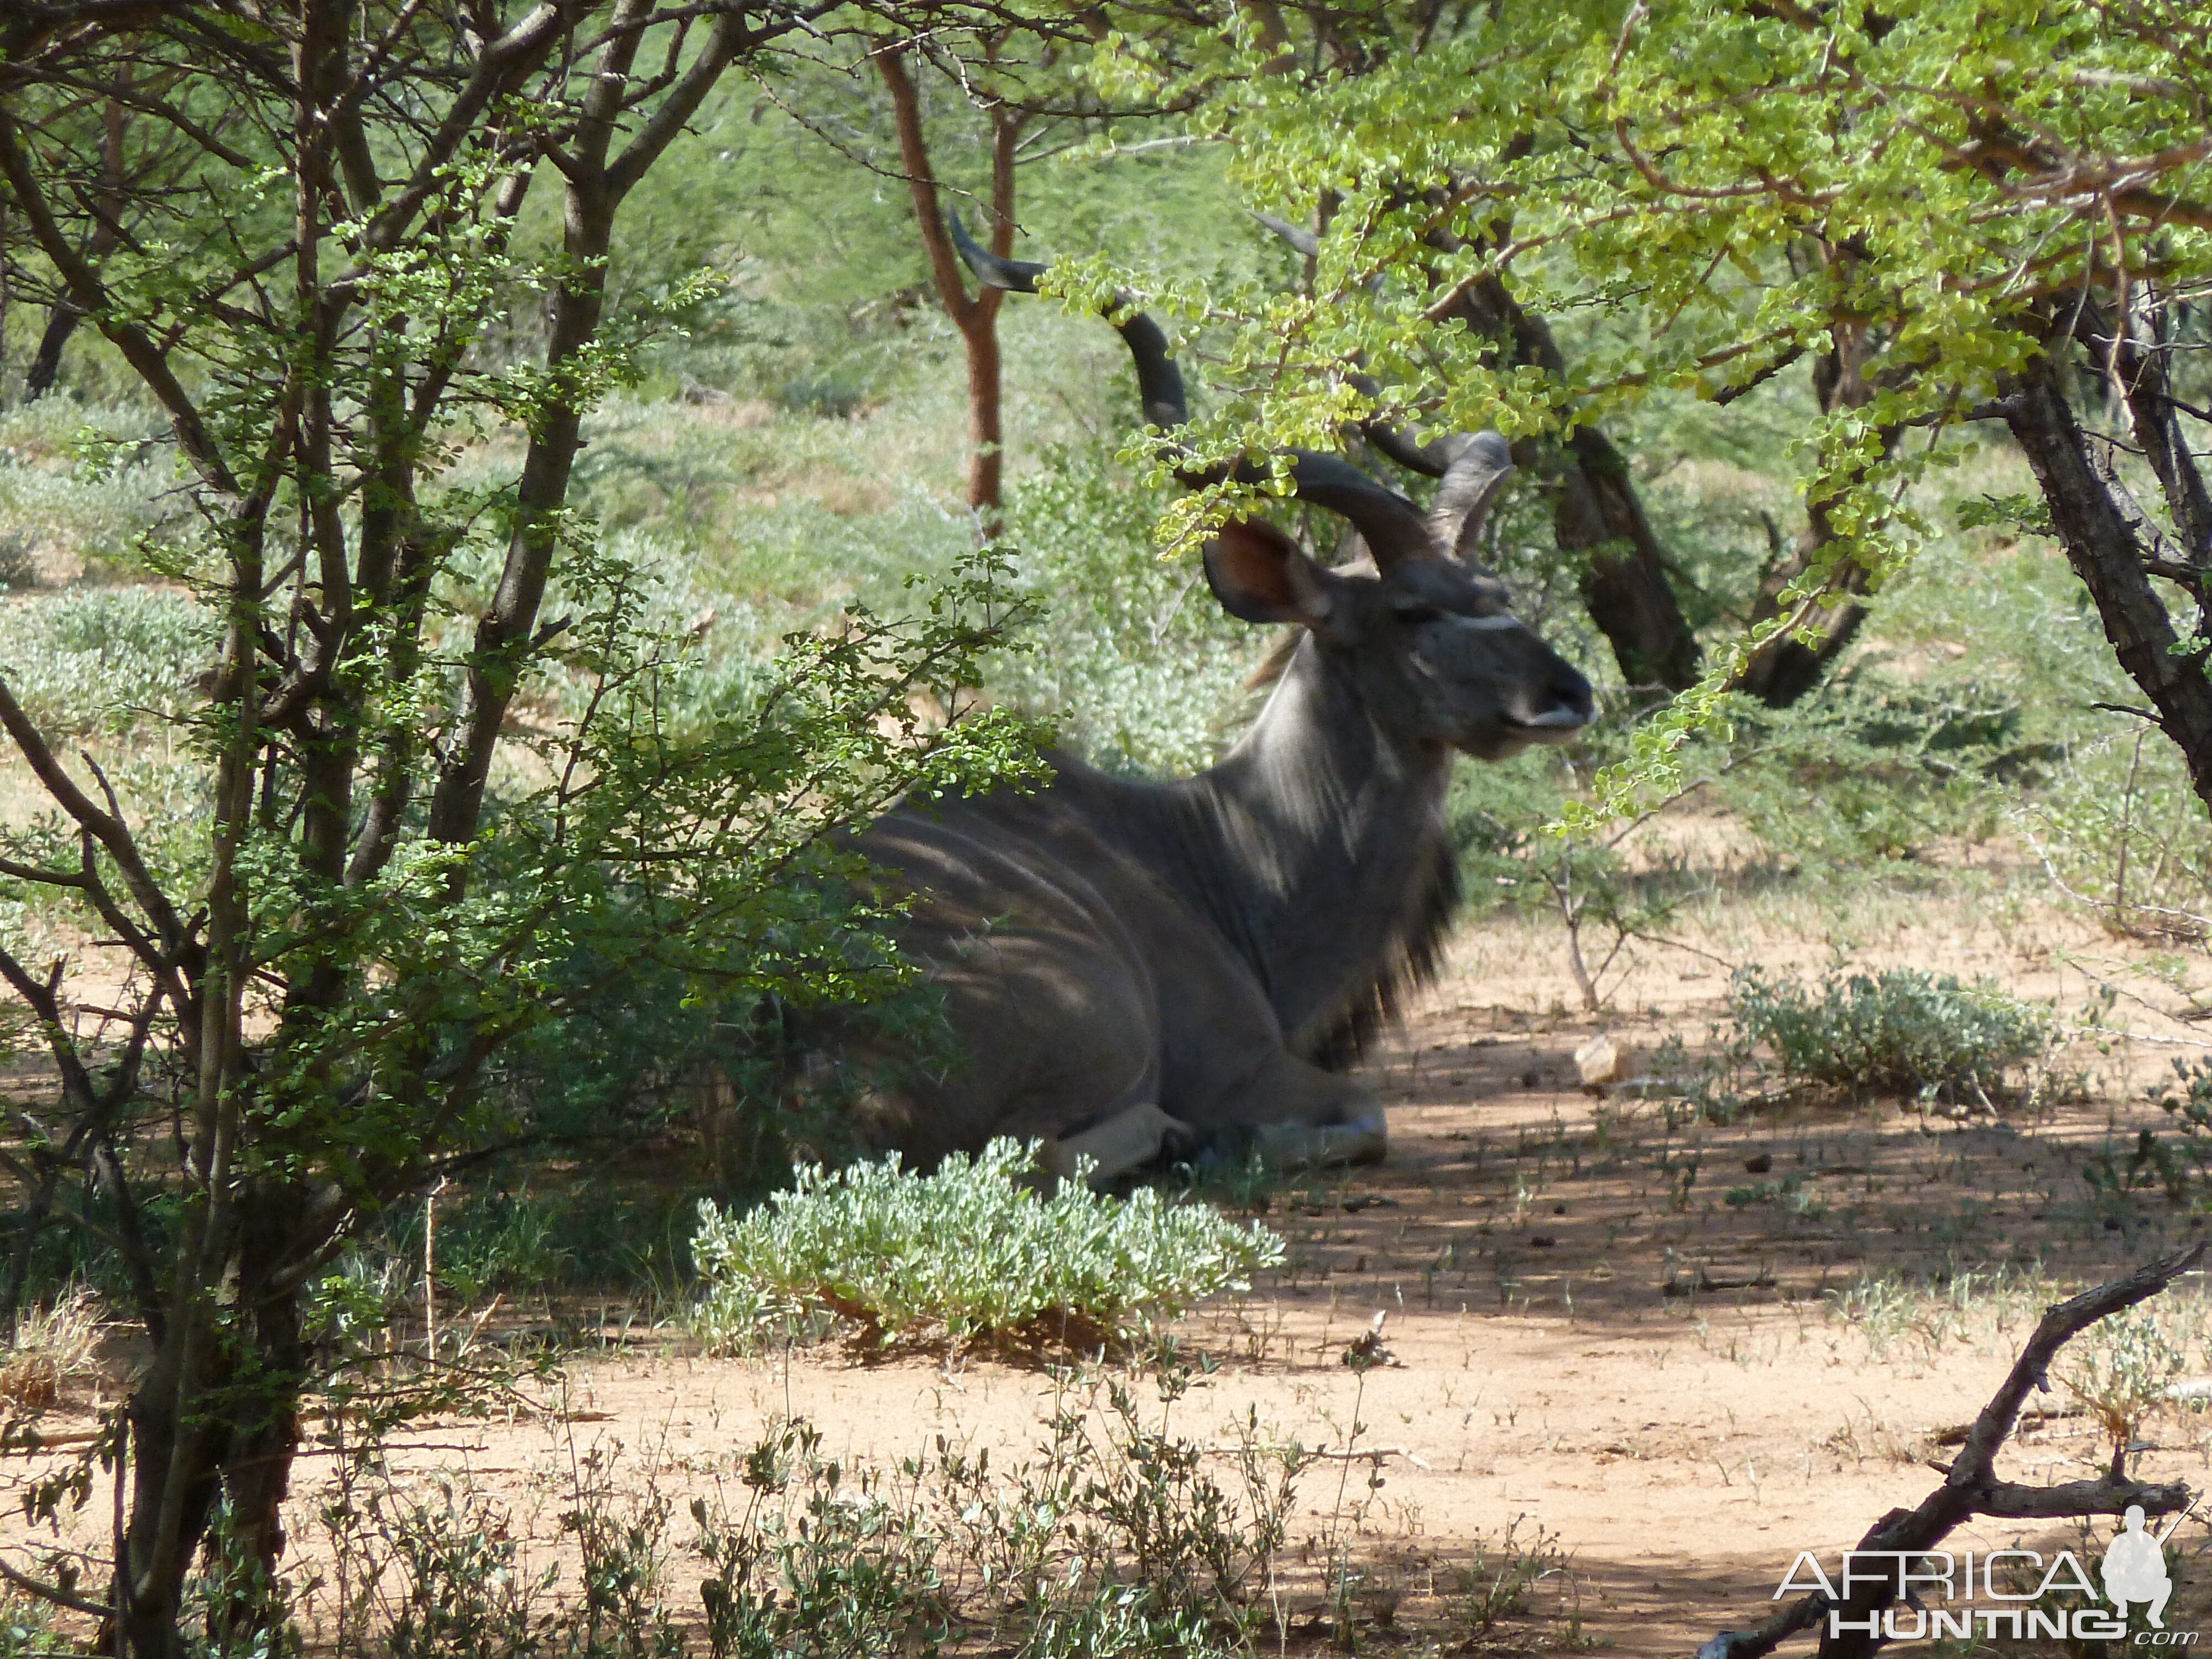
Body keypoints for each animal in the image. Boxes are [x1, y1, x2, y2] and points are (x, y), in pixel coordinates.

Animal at [832, 228, 1593, 1186]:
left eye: (1499, 593)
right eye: (1413, 612)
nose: (1568, 694)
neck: (1219, 848)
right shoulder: (1250, 1069)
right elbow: (1368, 1117)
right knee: (1020, 1163)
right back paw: (1178, 1142)